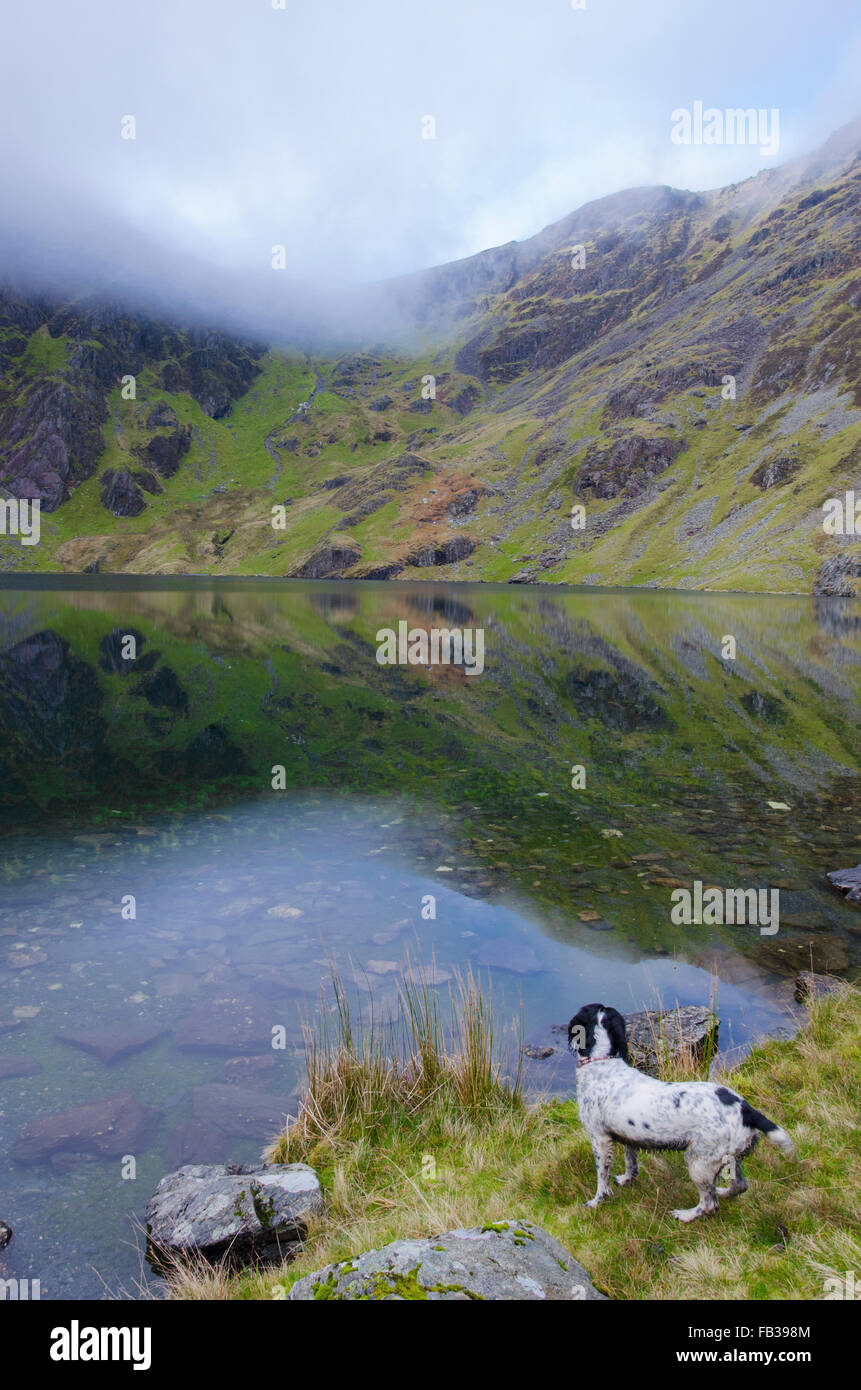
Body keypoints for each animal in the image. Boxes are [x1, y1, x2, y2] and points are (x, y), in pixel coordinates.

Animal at [564, 1006, 795, 1223]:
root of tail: (745, 1109)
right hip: (730, 1158)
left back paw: (686, 1215)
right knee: (739, 1186)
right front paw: (627, 1180)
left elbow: (602, 1176)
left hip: (698, 1161)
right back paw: (722, 1191)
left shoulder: (599, 1138)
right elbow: (631, 1163)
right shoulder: (628, 1137)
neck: (601, 1061)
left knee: (710, 1203)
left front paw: (596, 1201)